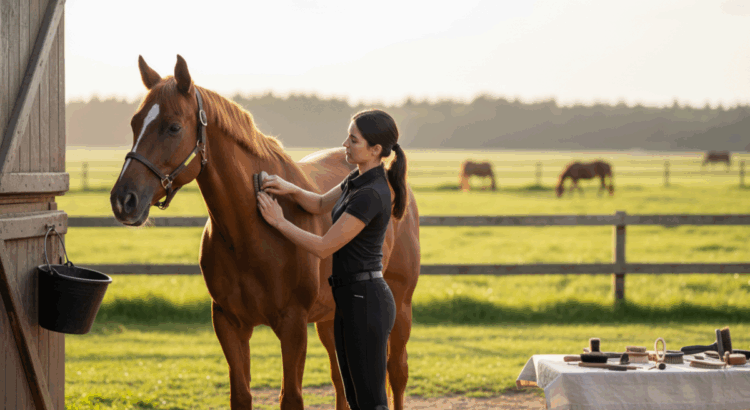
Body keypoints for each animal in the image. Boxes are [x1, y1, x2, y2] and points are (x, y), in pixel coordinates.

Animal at [110, 55, 421, 410]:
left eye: (173, 127)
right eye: (135, 123)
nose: (123, 200)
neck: (251, 236)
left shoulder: (293, 325)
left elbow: (291, 397)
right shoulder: (229, 323)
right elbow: (242, 395)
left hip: (400, 306)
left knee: (396, 373)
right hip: (331, 320)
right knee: (342, 382)